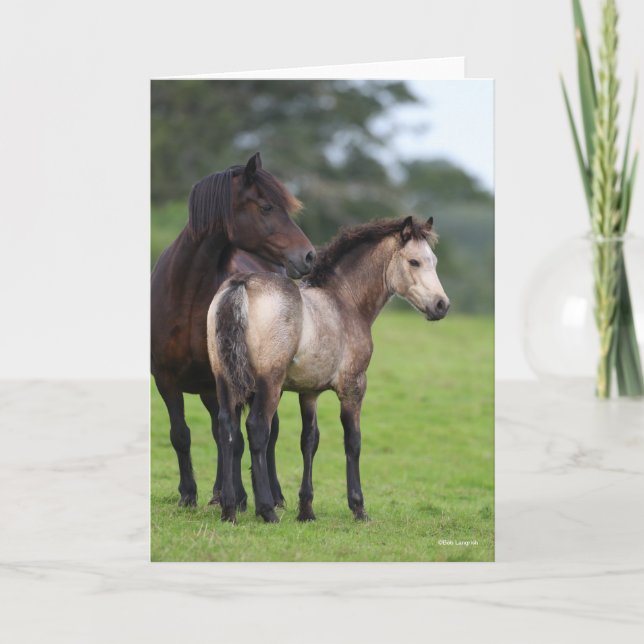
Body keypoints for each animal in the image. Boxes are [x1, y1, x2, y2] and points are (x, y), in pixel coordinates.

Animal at [151, 153, 316, 508]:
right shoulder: (165, 379)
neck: (186, 293)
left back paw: (272, 494)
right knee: (219, 430)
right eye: (267, 207)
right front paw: (188, 494)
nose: (309, 255)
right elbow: (181, 435)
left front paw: (240, 497)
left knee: (267, 432)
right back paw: (216, 493)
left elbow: (238, 438)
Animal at [207, 215, 449, 523]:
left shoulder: (308, 392)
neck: (344, 301)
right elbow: (353, 441)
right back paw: (267, 510)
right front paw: (358, 507)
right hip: (269, 383)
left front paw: (306, 510)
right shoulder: (353, 386)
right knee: (257, 429)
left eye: (434, 260)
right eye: (414, 261)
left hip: (225, 380)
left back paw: (229, 509)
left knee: (227, 428)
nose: (442, 305)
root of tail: (242, 283)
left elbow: (309, 440)